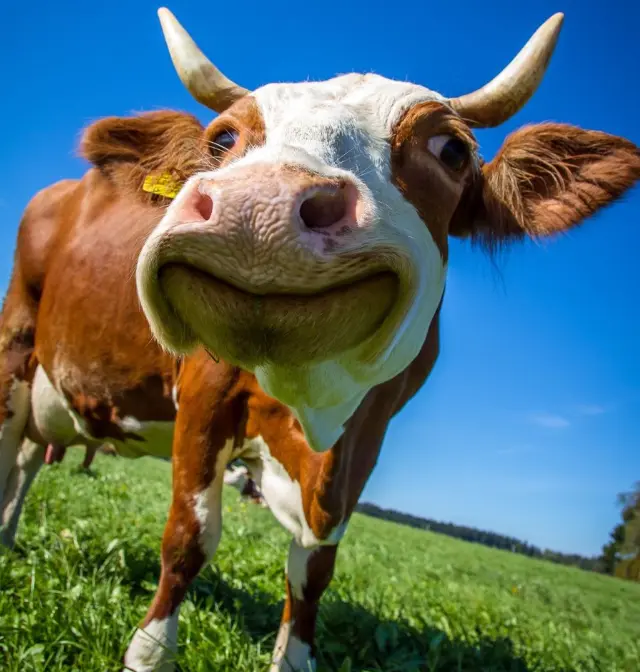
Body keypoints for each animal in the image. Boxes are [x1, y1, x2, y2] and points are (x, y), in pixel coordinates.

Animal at [1, 7, 638, 671]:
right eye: (222, 141)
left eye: (452, 150)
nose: (259, 207)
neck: (314, 410)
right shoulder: (203, 397)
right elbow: (190, 536)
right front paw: (149, 652)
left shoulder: (366, 438)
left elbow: (314, 569)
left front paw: (293, 655)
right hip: (16, 342)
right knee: (10, 447)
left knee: (28, 458)